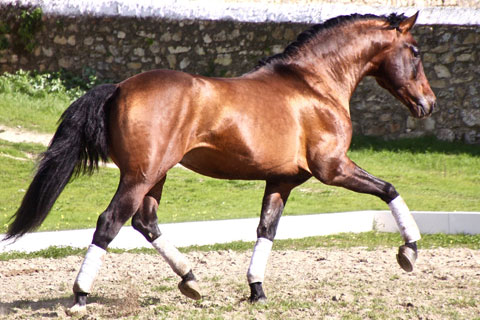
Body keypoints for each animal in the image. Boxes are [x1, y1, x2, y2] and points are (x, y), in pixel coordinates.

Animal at [6, 12, 436, 312]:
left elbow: (266, 230)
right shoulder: (333, 168)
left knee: (146, 222)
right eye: (414, 52)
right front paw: (410, 251)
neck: (314, 85)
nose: (428, 104)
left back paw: (191, 280)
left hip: (154, 176)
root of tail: (119, 88)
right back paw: (81, 295)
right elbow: (389, 190)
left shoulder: (281, 181)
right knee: (110, 222)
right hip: (140, 176)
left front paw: (257, 290)